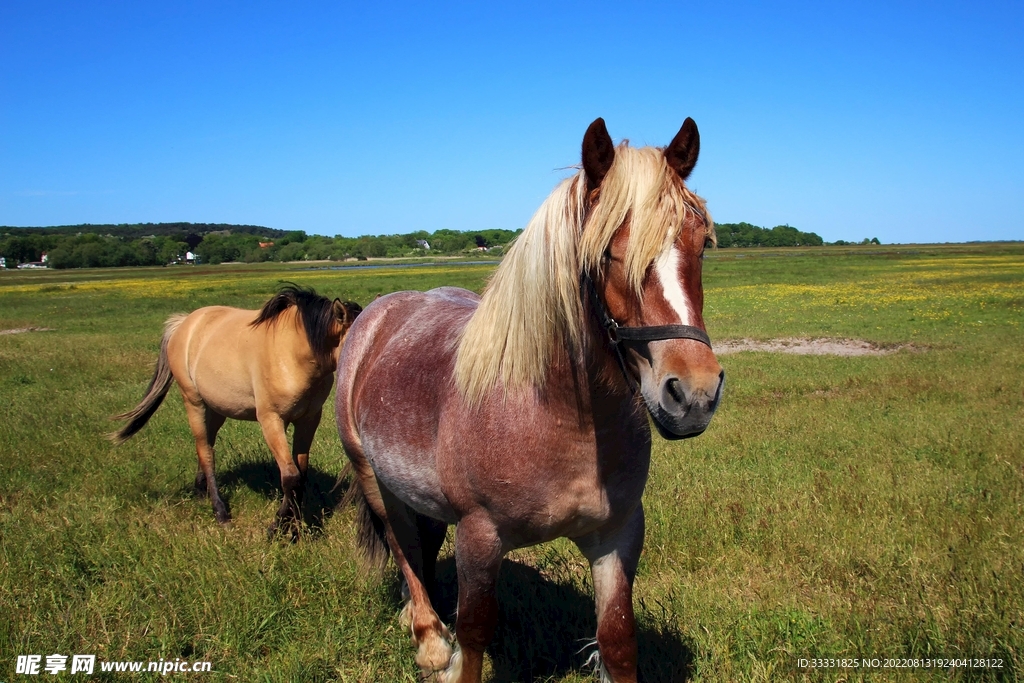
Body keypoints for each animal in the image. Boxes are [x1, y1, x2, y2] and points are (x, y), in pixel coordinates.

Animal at [112, 284, 361, 537]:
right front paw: (278, 527)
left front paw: (294, 524)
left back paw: (201, 492)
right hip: (194, 402)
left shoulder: (308, 420)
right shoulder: (271, 419)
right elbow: (291, 476)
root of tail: (184, 323)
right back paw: (220, 512)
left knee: (206, 447)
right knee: (206, 452)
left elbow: (301, 473)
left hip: (215, 410)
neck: (294, 352)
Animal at [335, 117, 723, 682]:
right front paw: (449, 652)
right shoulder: (479, 537)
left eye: (701, 245)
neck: (558, 417)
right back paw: (429, 640)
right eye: (606, 252)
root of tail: (376, 316)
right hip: (373, 478)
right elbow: (473, 637)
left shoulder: (618, 535)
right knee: (403, 547)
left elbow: (618, 640)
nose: (694, 393)